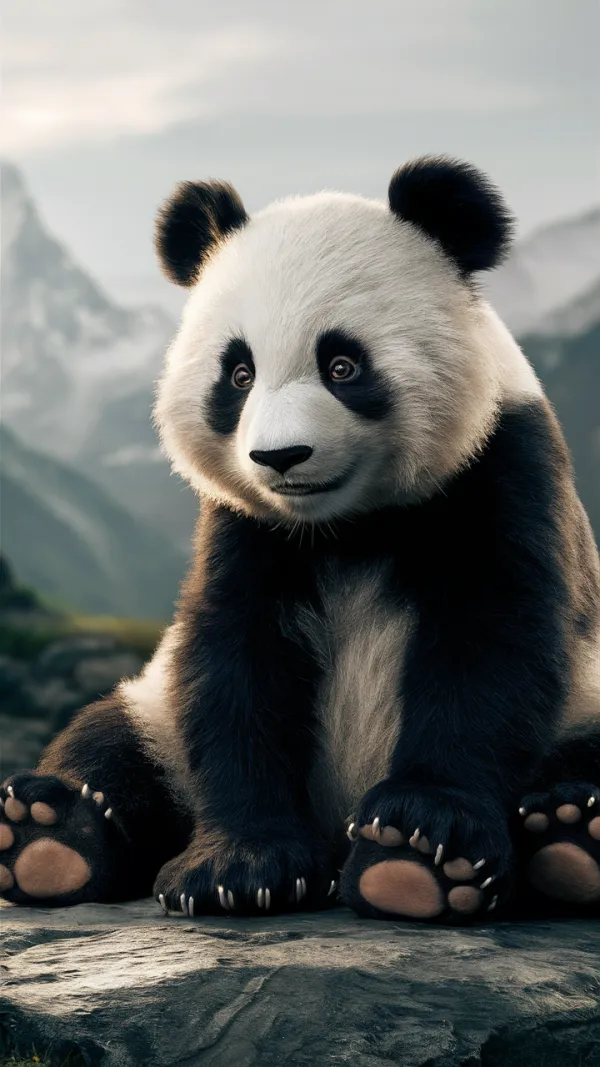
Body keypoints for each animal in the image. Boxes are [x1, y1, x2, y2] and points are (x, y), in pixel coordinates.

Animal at [2, 156, 600, 923]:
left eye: (342, 365)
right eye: (238, 372)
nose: (280, 457)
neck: (350, 522)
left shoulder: (500, 468)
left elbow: (491, 643)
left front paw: (423, 839)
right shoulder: (246, 527)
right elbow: (235, 659)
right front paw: (238, 867)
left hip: (585, 698)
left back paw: (563, 838)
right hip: (155, 712)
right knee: (112, 740)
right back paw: (47, 836)